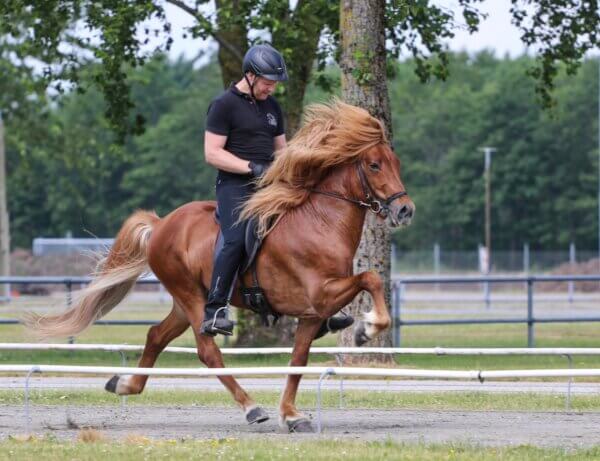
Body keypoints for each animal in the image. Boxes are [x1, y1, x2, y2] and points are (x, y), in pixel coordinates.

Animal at [25, 99, 414, 434]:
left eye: (395, 163)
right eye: (374, 165)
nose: (405, 210)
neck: (319, 221)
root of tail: (162, 224)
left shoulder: (311, 313)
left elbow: (297, 361)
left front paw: (291, 415)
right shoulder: (320, 295)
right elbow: (370, 278)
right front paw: (367, 328)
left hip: (185, 303)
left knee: (156, 336)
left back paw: (124, 384)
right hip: (191, 298)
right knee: (207, 350)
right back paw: (251, 408)